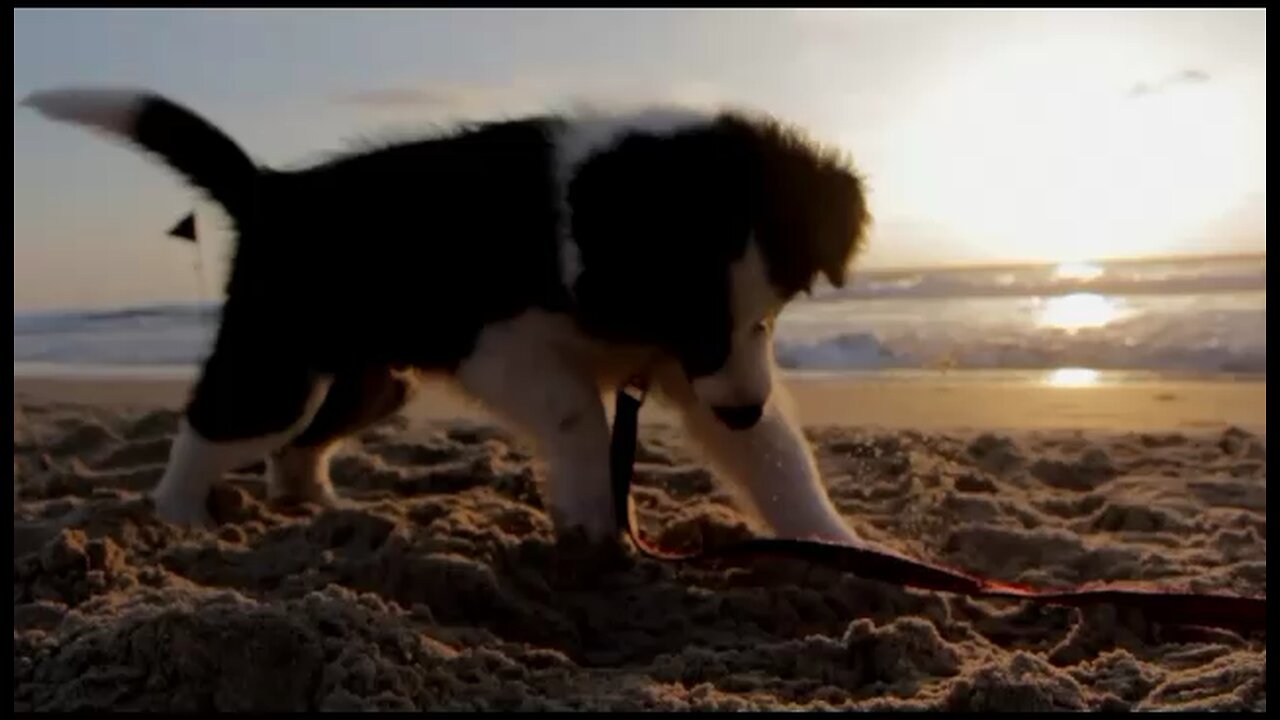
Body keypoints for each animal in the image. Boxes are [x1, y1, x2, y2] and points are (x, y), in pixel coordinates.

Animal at [22, 85, 870, 543]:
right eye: (690, 317)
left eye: (774, 315)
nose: (741, 407)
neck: (571, 228)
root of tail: (272, 189)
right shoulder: (498, 345)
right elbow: (578, 414)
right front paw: (592, 515)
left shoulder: (706, 370)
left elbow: (776, 457)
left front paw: (836, 543)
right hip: (278, 361)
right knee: (218, 425)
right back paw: (178, 517)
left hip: (373, 378)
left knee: (298, 444)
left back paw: (317, 506)